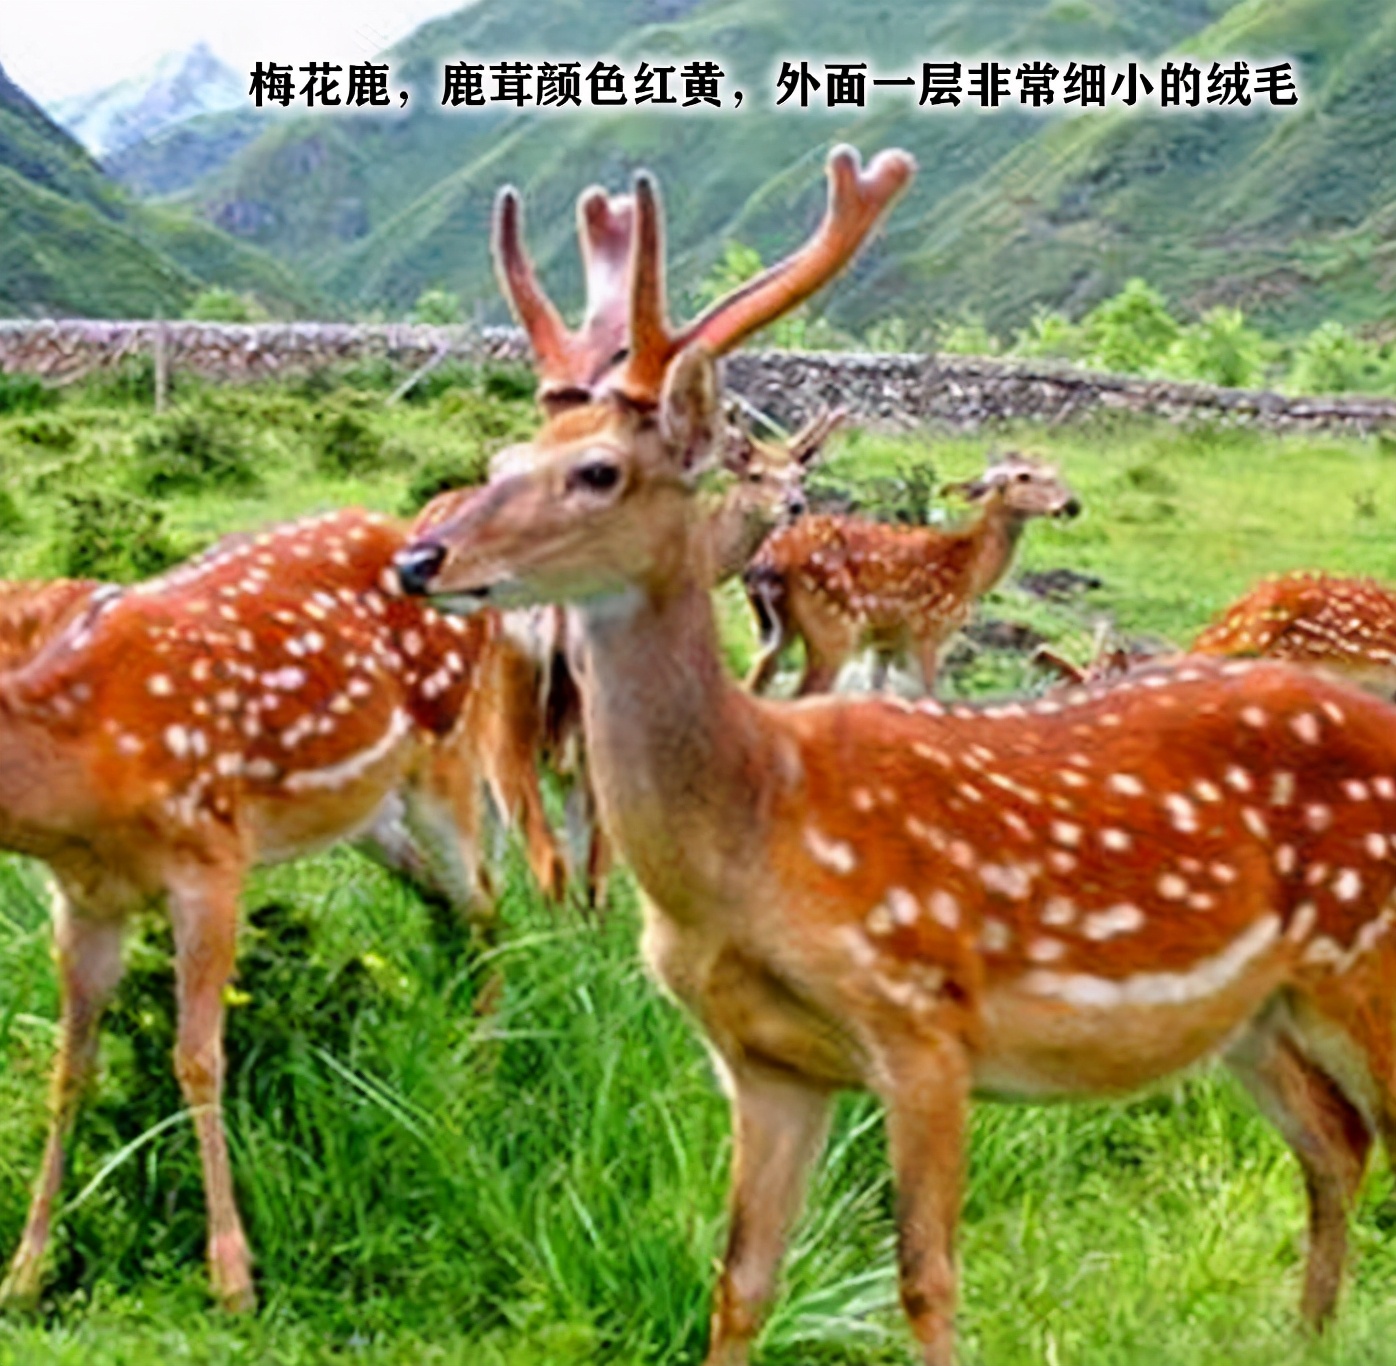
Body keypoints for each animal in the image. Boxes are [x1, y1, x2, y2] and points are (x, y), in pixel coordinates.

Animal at [0, 496, 577, 1314]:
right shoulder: (82, 897)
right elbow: (70, 1068)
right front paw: (25, 1271)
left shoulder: (210, 855)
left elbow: (197, 1057)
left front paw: (233, 1278)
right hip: (370, 816)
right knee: (451, 904)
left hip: (450, 759)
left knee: (490, 905)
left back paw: (481, 1068)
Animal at [744, 453, 1081, 697]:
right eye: (1024, 476)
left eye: (1057, 471)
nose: (1073, 505)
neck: (971, 571)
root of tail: (769, 559)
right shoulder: (928, 628)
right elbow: (928, 696)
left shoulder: (886, 640)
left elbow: (879, 692)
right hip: (835, 623)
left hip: (779, 629)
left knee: (755, 683)